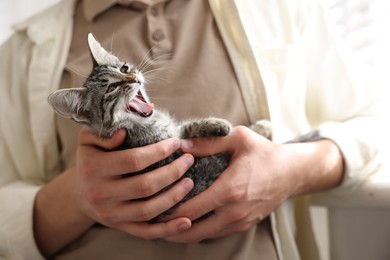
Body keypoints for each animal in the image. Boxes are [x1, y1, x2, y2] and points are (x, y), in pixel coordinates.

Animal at [48, 33, 235, 221]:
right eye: (111, 88)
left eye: (124, 69)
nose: (134, 78)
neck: (143, 125)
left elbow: (183, 129)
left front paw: (217, 124)